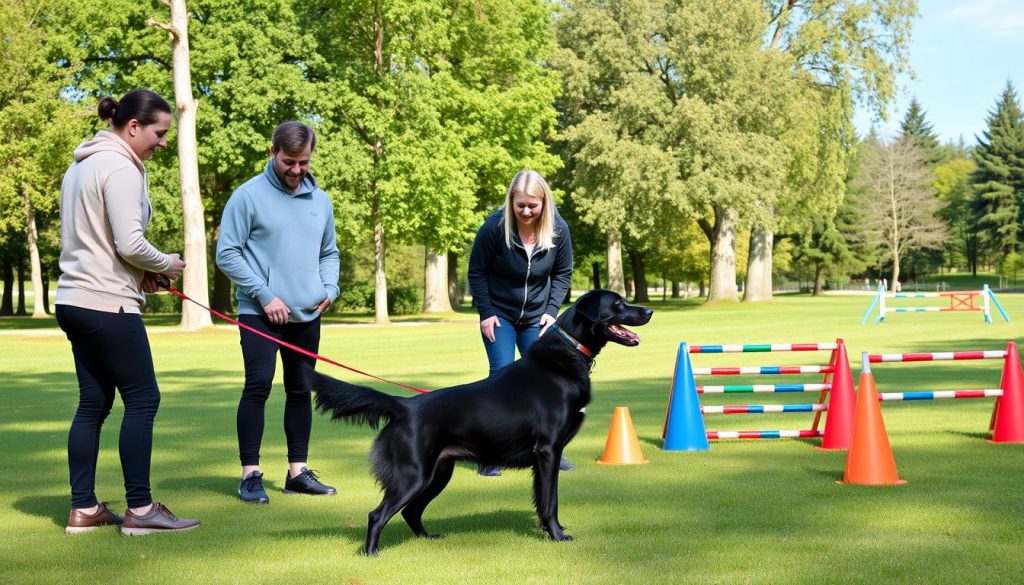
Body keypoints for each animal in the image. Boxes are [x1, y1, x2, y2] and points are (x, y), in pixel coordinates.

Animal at [307, 290, 651, 557]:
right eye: (618, 303)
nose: (648, 310)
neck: (564, 358)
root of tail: (404, 405)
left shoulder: (545, 457)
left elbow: (542, 500)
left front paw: (549, 531)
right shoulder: (548, 451)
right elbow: (550, 501)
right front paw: (557, 535)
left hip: (437, 474)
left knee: (410, 511)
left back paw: (427, 539)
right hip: (413, 475)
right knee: (378, 514)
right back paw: (371, 553)